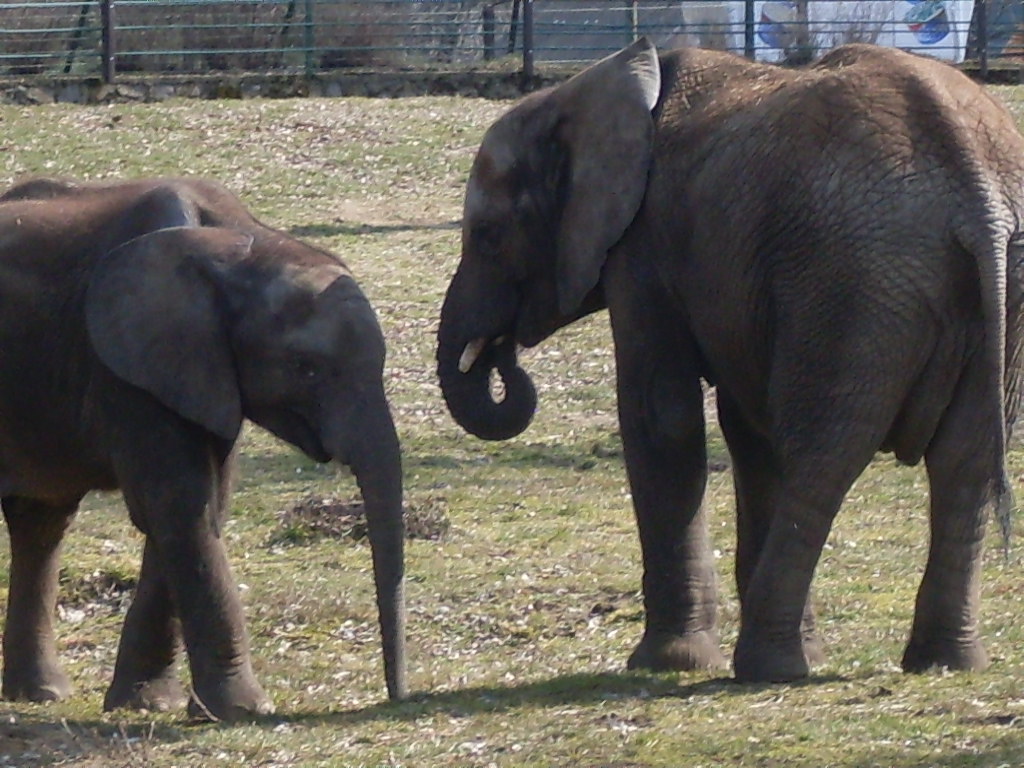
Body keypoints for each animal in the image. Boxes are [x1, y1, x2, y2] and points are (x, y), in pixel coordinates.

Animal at [0, 176, 406, 720]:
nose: (398, 697)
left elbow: (200, 506)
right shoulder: (126, 367)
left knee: (41, 520)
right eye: (305, 367)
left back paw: (41, 694)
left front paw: (150, 704)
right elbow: (178, 504)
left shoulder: (198, 372)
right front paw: (245, 711)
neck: (242, 244)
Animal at [436, 39, 1024, 682]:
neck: (592, 87)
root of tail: (977, 193)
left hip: (853, 284)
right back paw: (943, 663)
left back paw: (770, 667)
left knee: (821, 459)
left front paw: (668, 662)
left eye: (488, 235)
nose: (503, 356)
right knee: (964, 461)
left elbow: (661, 418)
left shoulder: (644, 247)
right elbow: (746, 432)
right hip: (986, 295)